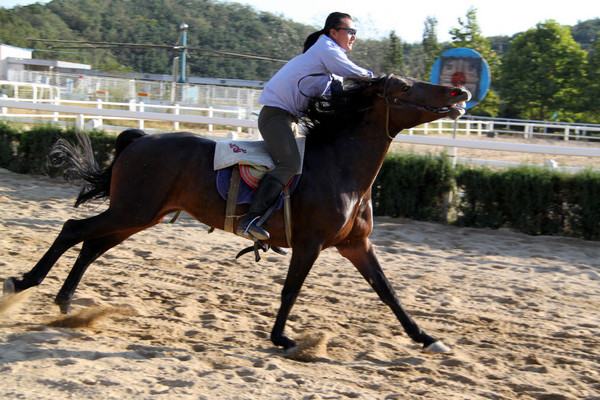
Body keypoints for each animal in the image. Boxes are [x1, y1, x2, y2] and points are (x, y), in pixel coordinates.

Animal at [3, 74, 468, 354]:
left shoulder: (355, 244)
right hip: (132, 210)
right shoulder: (310, 243)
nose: (459, 93)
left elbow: (388, 291)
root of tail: (140, 139)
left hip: (139, 215)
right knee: (73, 229)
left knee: (91, 246)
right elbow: (291, 291)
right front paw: (281, 337)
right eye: (405, 87)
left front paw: (427, 338)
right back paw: (25, 283)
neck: (341, 168)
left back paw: (66, 303)